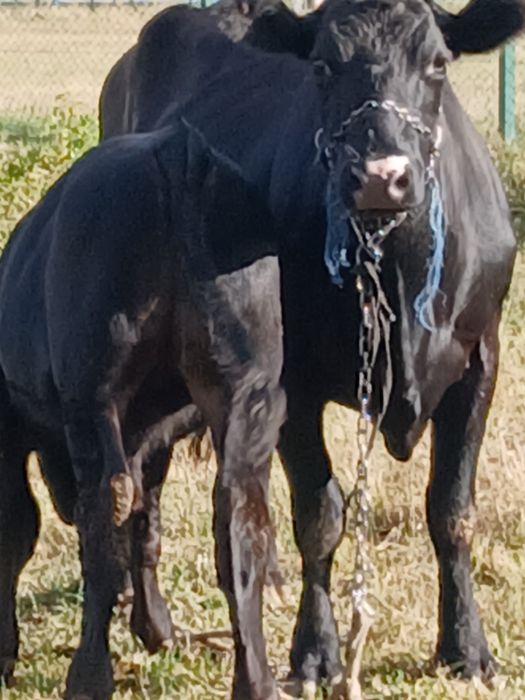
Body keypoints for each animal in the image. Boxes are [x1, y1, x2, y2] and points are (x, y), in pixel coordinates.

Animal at [0, 119, 287, 699]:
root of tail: (180, 149)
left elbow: (14, 529)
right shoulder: (157, 436)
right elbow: (147, 521)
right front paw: (154, 625)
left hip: (93, 392)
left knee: (104, 511)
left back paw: (89, 674)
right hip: (247, 390)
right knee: (238, 516)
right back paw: (256, 679)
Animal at [97, 0, 523, 697]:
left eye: (437, 63)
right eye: (322, 65)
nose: (380, 177)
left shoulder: (480, 361)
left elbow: (452, 509)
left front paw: (466, 645)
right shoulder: (292, 380)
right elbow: (319, 516)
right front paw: (316, 651)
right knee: (147, 478)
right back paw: (154, 621)